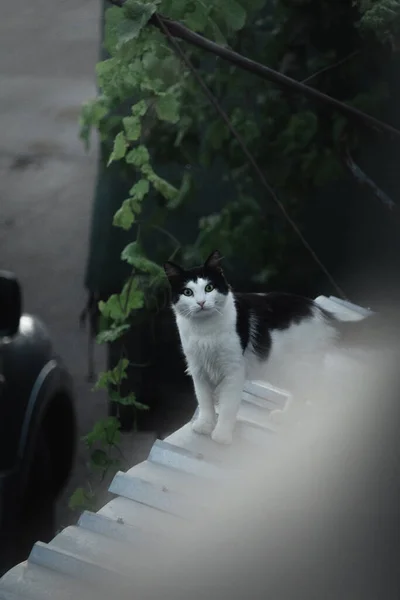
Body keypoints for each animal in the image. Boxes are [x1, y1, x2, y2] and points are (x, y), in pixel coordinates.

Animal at [162, 250, 382, 446]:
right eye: (188, 292)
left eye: (209, 288)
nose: (201, 303)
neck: (205, 330)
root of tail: (322, 313)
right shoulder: (198, 369)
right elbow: (204, 400)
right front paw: (205, 425)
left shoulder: (234, 370)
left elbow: (227, 405)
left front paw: (222, 435)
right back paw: (285, 416)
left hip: (299, 368)